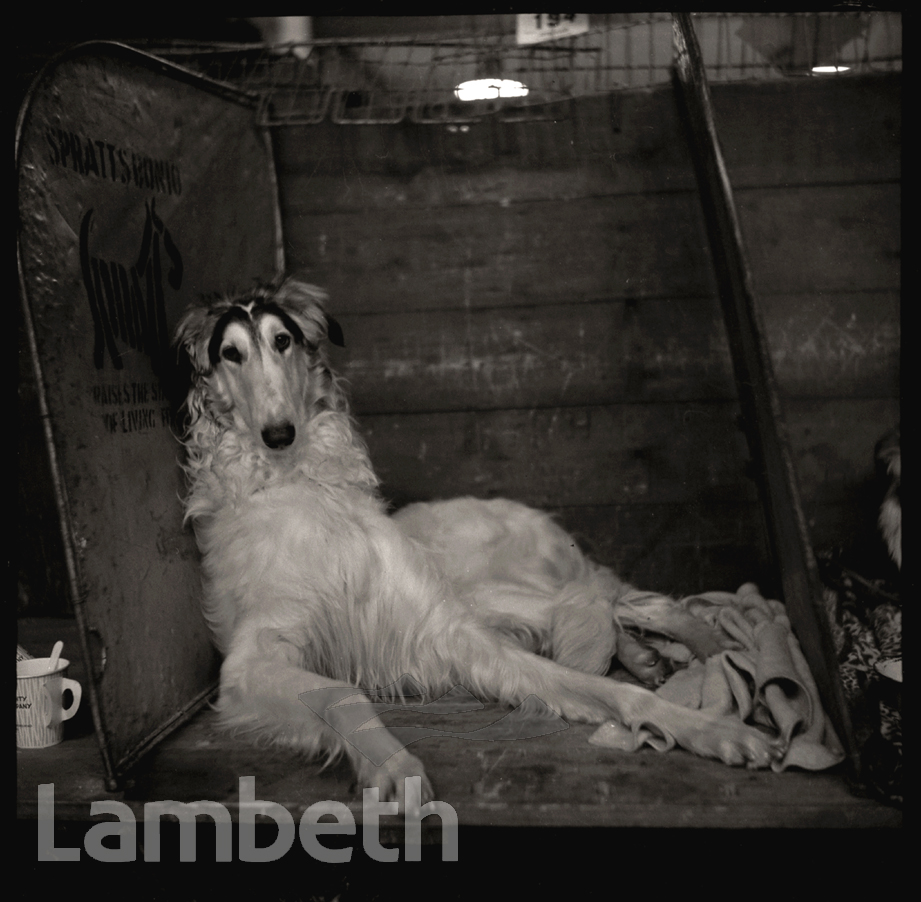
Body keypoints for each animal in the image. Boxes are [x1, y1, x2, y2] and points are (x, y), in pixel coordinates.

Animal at [176, 278, 780, 804]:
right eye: (230, 353)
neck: (305, 484)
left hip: (483, 586)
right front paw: (395, 764)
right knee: (604, 604)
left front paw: (717, 731)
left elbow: (617, 693)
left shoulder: (451, 631)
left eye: (282, 340)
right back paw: (657, 653)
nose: (279, 434)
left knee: (619, 599)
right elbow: (340, 691)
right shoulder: (250, 661)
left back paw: (705, 643)